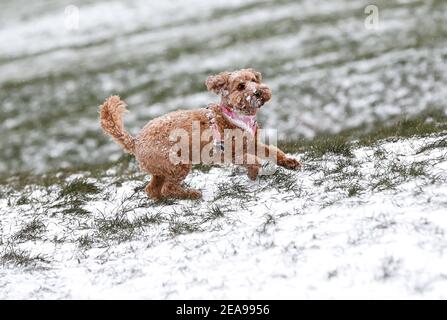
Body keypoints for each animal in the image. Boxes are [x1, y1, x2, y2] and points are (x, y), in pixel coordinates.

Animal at [100, 69, 302, 200]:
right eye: (241, 86)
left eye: (255, 80)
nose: (258, 92)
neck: (233, 115)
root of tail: (135, 141)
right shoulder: (231, 152)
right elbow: (251, 160)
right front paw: (253, 172)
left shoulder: (251, 142)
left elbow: (273, 151)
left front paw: (290, 163)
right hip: (177, 164)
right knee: (168, 188)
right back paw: (190, 194)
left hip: (161, 169)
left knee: (152, 189)